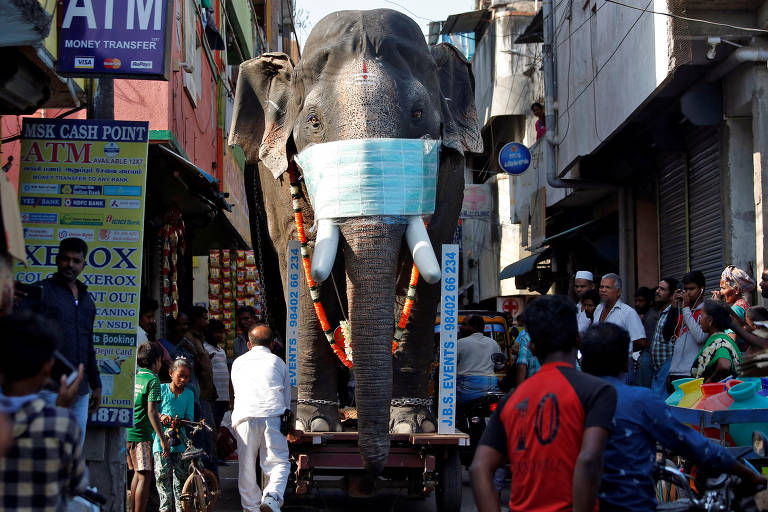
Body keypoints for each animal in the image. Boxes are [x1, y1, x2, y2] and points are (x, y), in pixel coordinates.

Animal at [228, 8, 480, 474]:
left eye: (419, 114)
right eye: (313, 122)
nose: (374, 466)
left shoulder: (450, 178)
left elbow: (427, 262)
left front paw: (412, 426)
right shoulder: (282, 190)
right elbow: (305, 263)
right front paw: (314, 426)